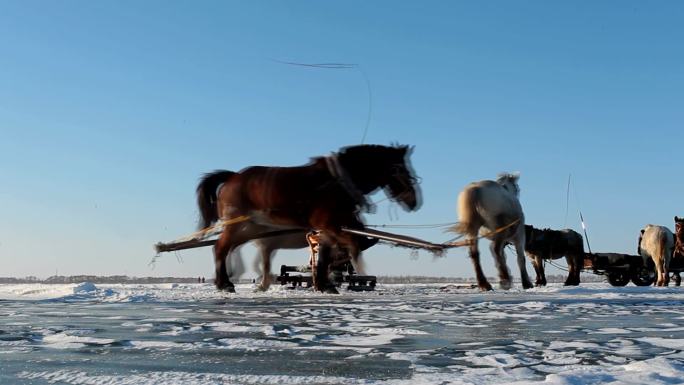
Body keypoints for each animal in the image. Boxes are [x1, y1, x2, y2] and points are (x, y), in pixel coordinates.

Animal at [195, 143, 420, 292]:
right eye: (398, 168)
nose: (414, 200)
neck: (337, 183)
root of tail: (233, 176)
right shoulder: (328, 223)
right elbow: (349, 244)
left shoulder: (334, 225)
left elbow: (330, 251)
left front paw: (325, 282)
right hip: (237, 224)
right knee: (221, 247)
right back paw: (225, 283)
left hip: (251, 227)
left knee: (230, 247)